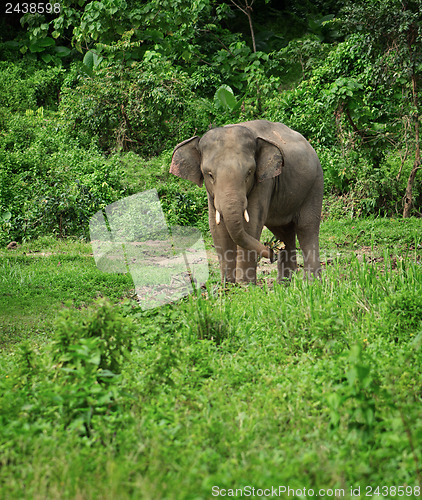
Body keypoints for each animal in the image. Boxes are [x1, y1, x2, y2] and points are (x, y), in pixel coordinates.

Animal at [170, 119, 324, 284]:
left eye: (249, 172)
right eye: (209, 174)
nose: (271, 253)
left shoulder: (264, 182)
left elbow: (251, 224)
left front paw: (245, 285)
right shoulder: (211, 193)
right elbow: (217, 228)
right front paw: (227, 285)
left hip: (315, 185)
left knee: (306, 227)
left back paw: (312, 282)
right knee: (283, 231)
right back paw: (284, 283)